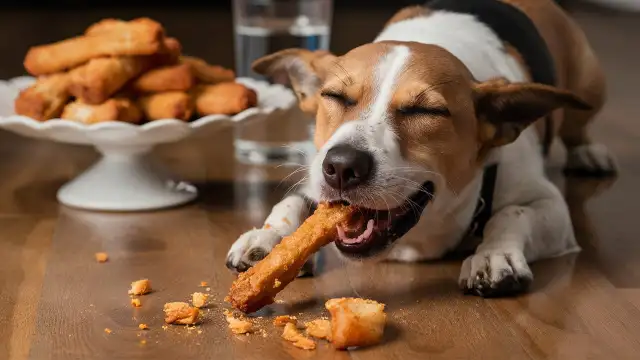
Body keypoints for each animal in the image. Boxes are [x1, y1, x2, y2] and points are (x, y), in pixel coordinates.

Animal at [224, 0, 616, 296]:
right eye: (334, 96)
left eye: (425, 111)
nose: (342, 166)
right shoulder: (315, 182)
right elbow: (293, 202)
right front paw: (270, 237)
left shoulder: (550, 206)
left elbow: (513, 214)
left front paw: (495, 254)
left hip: (591, 85)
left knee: (579, 127)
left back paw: (589, 153)